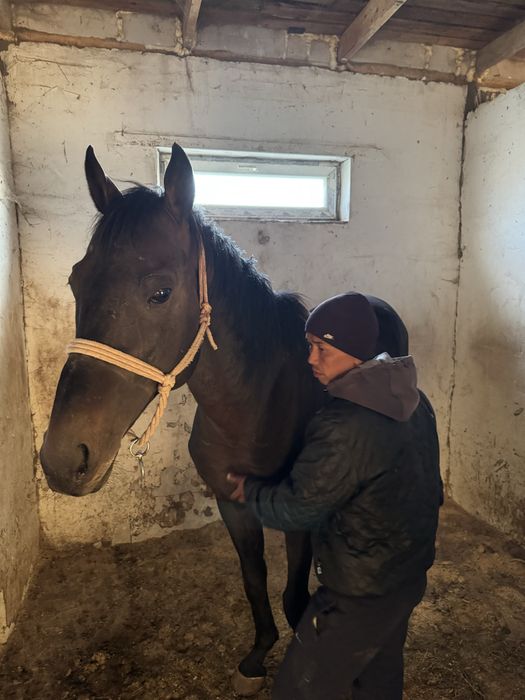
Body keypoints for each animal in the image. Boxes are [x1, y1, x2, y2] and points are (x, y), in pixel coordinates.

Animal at [40, 143, 409, 694]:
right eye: (74, 281)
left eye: (160, 293)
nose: (63, 458)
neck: (254, 408)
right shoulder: (232, 503)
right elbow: (254, 579)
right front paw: (257, 654)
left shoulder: (300, 512)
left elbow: (295, 593)